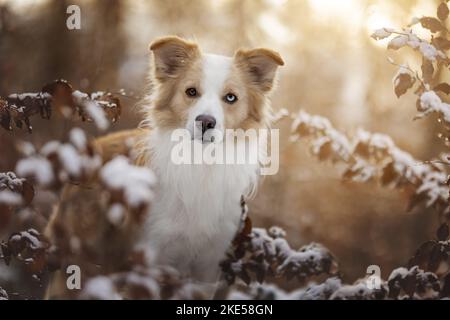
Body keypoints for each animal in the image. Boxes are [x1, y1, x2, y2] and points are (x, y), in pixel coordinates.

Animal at [45, 36, 284, 298]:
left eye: (231, 98)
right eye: (191, 92)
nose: (205, 122)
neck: (200, 162)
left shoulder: (207, 268)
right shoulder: (149, 261)